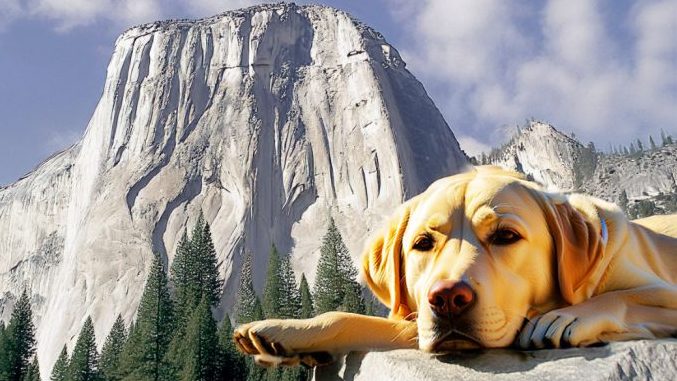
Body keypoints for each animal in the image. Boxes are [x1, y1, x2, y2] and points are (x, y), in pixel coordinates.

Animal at [234, 166, 676, 366]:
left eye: (505, 236)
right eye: (422, 244)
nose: (447, 298)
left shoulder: (660, 291)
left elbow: (624, 298)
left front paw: (566, 317)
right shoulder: (416, 323)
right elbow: (350, 318)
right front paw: (286, 332)